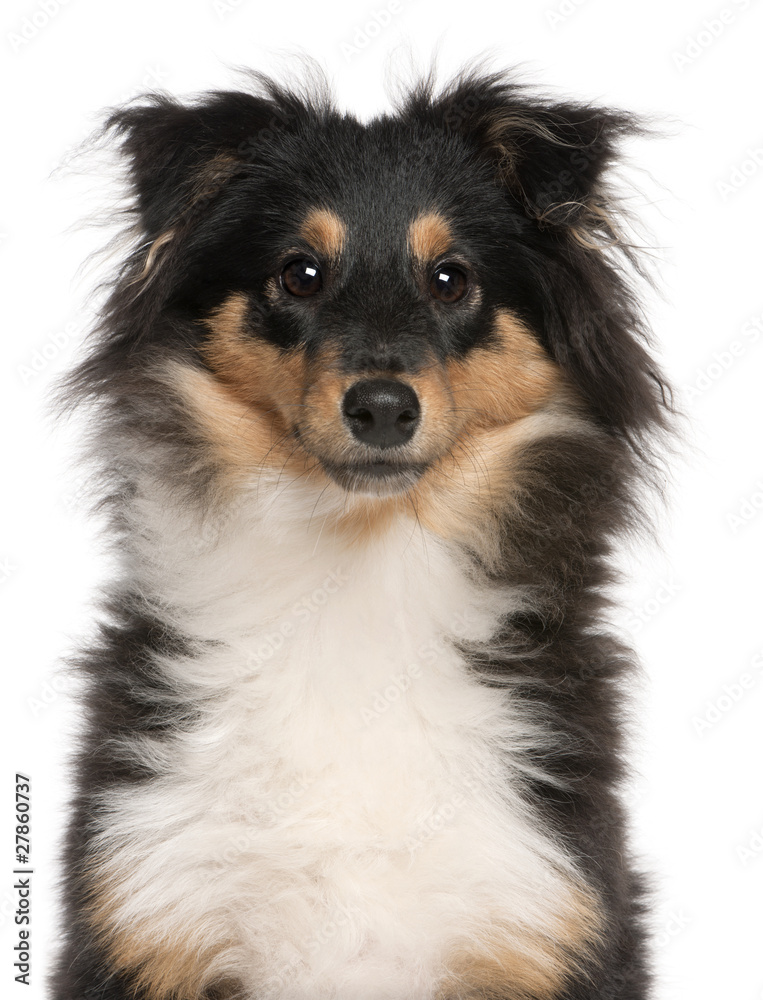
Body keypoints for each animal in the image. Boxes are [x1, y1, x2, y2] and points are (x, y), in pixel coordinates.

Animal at [52, 66, 668, 996]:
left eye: (450, 279)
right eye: (299, 274)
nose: (381, 408)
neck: (357, 583)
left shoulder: (544, 915)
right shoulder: (147, 914)